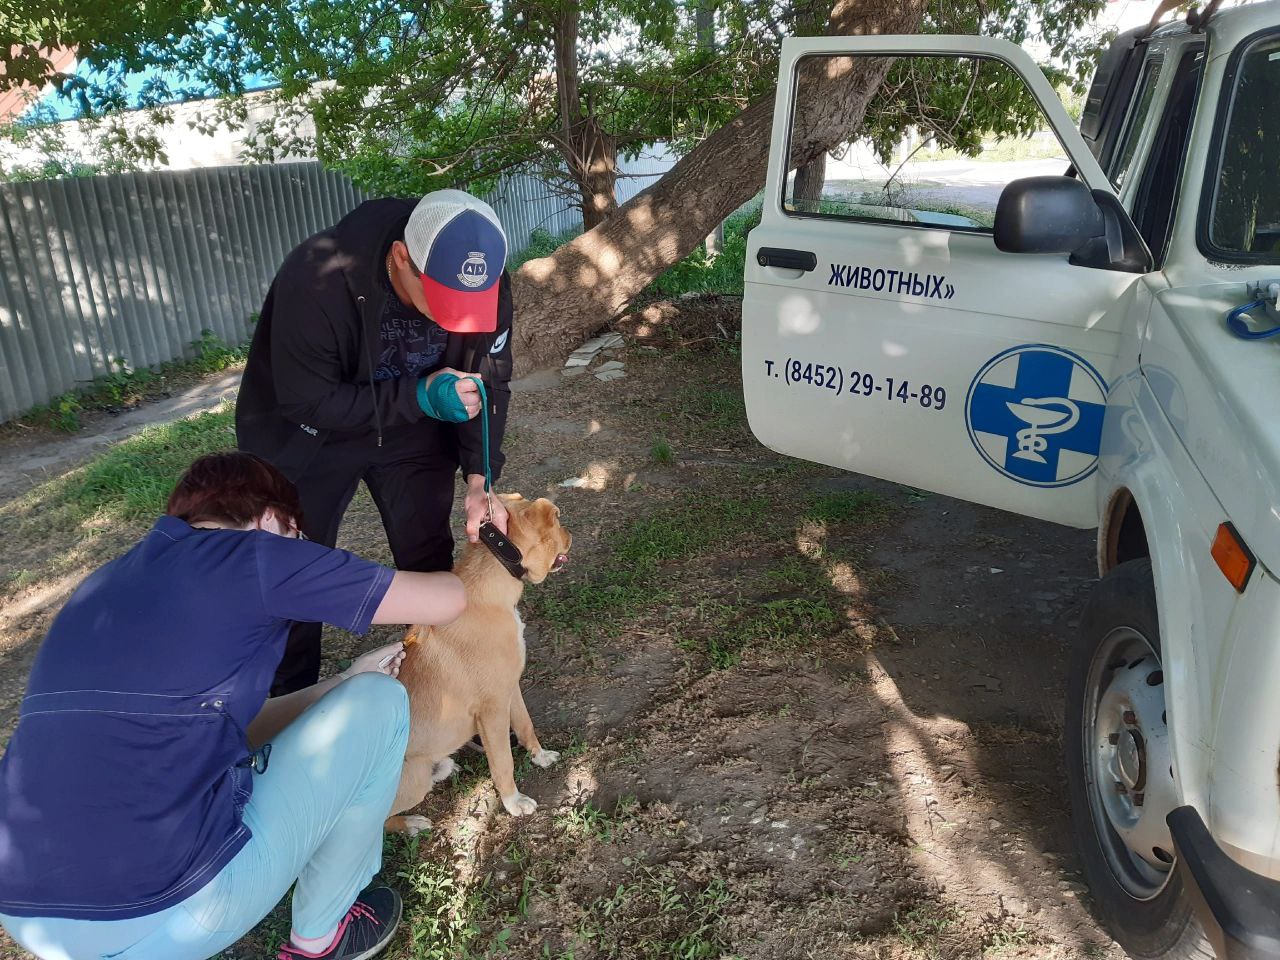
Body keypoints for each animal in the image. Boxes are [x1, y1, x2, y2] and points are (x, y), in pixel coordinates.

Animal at [381, 496, 573, 834]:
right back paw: (411, 823)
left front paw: (540, 756)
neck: (490, 597)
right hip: (413, 780)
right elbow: (503, 762)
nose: (571, 535)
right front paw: (513, 803)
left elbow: (526, 726)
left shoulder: (510, 689)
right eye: (558, 519)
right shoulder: (492, 709)